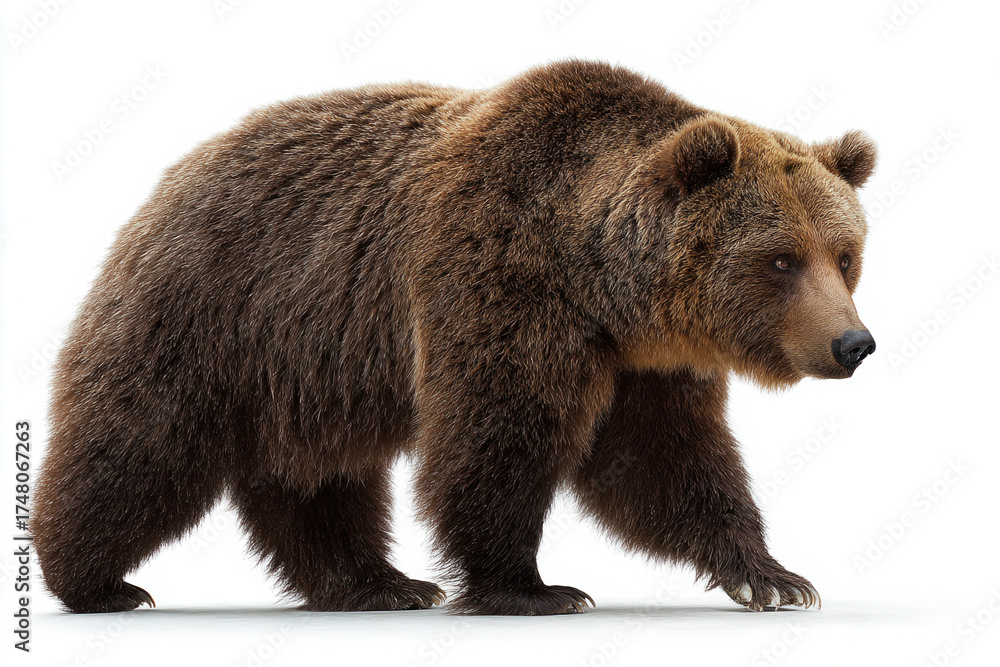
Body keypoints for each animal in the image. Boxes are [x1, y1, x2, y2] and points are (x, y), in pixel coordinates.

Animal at [34, 59, 877, 616]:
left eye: (844, 254)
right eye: (780, 258)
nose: (853, 344)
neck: (603, 282)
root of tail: (171, 176)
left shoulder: (644, 361)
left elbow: (665, 461)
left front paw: (773, 575)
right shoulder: (497, 280)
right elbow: (497, 437)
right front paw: (535, 587)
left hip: (310, 367)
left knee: (315, 477)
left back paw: (377, 582)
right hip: (215, 309)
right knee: (142, 444)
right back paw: (99, 581)